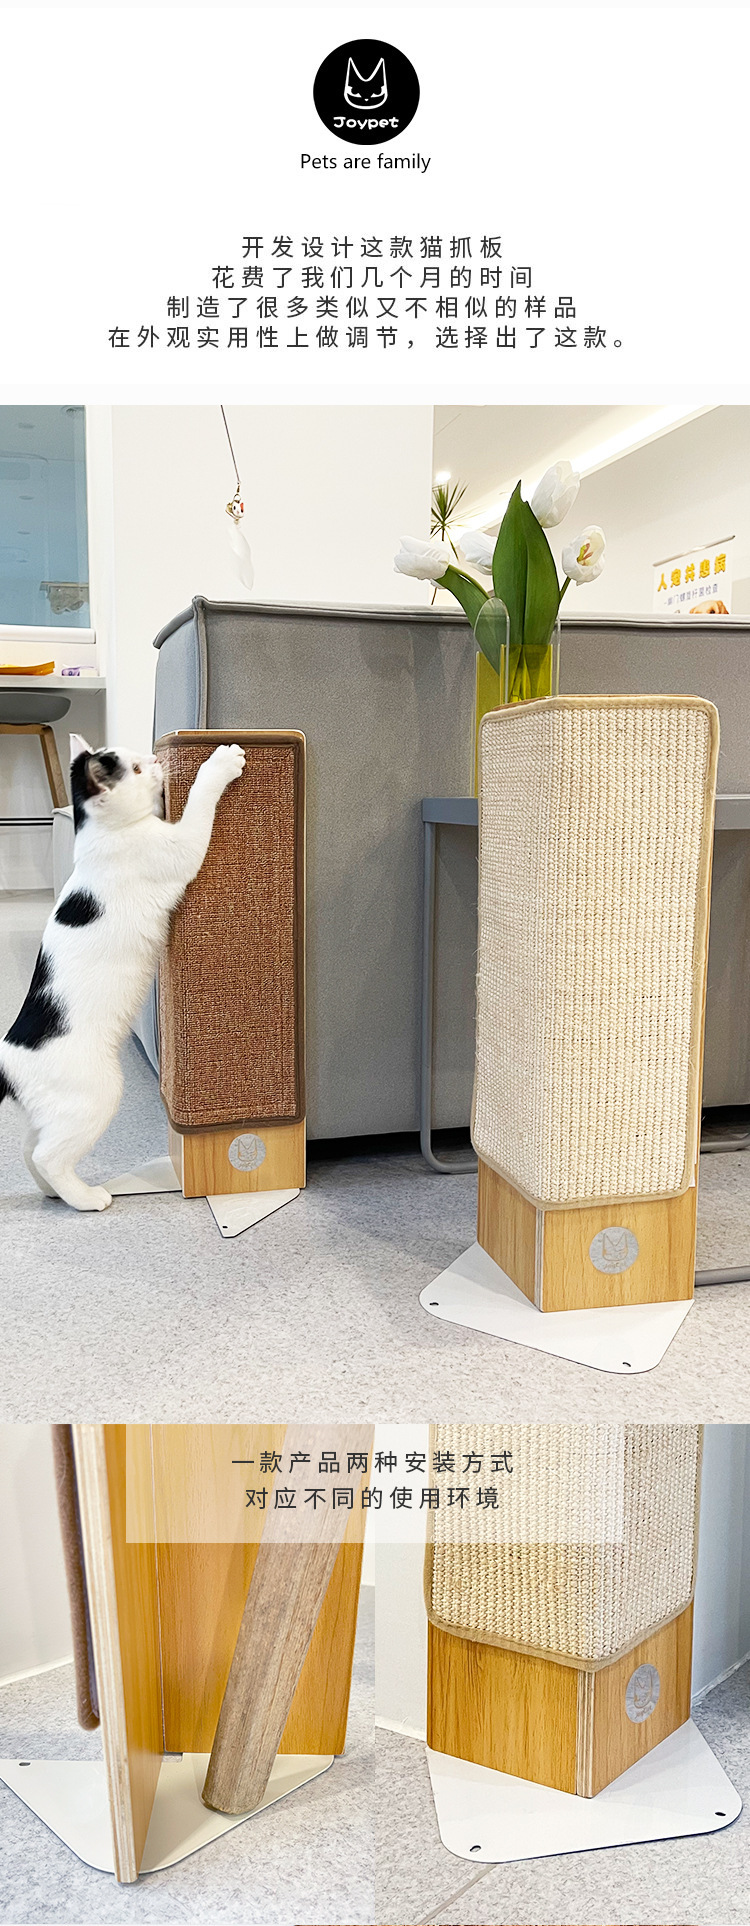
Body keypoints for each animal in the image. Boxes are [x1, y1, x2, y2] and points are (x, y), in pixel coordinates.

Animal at [0, 733, 245, 1212]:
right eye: (132, 769)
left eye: (140, 758)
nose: (154, 759)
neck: (103, 834)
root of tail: (8, 1058)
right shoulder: (180, 847)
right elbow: (200, 800)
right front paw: (220, 763)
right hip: (97, 1095)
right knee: (47, 1154)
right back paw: (86, 1198)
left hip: (50, 1114)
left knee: (28, 1149)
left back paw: (51, 1192)